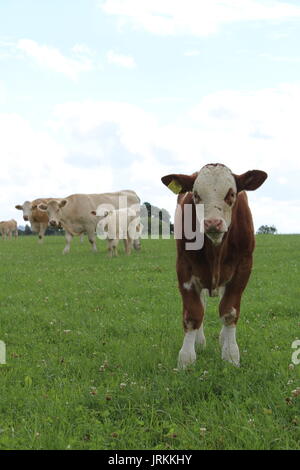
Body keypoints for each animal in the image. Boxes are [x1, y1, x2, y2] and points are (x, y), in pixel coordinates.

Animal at [162, 163, 268, 370]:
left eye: (231, 194)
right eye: (196, 195)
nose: (212, 223)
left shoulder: (243, 267)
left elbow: (229, 311)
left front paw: (231, 354)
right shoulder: (184, 268)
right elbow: (193, 313)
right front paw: (186, 359)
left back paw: (223, 339)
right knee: (202, 303)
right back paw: (200, 341)